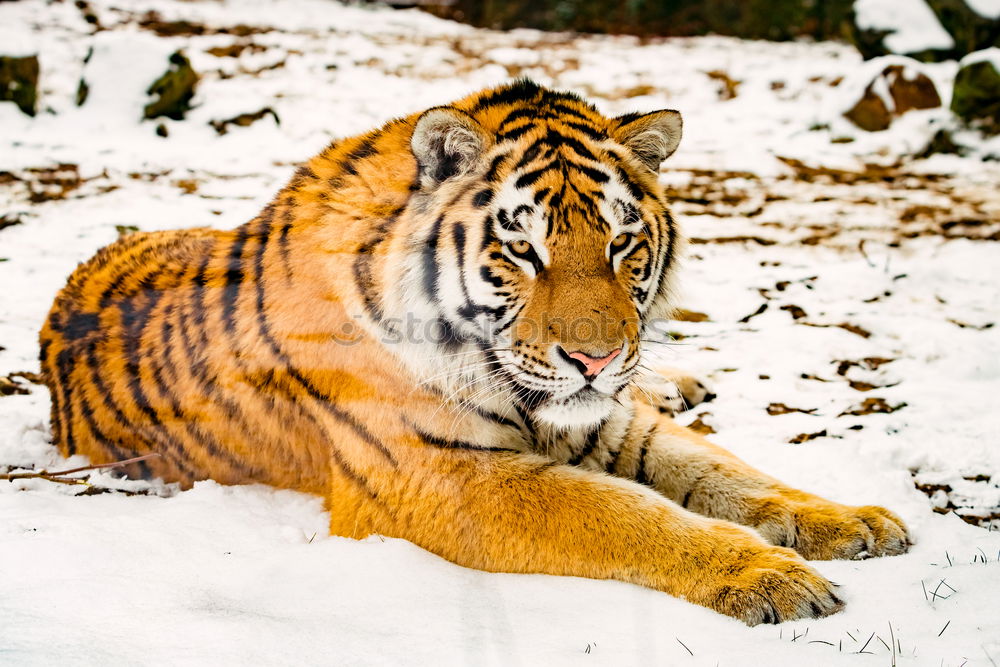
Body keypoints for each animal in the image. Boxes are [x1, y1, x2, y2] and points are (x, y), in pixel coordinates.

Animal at [39, 81, 908, 628]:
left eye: (621, 243)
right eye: (523, 248)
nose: (596, 360)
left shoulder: (606, 419)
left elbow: (728, 472)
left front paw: (851, 519)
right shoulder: (436, 474)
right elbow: (627, 514)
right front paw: (770, 575)